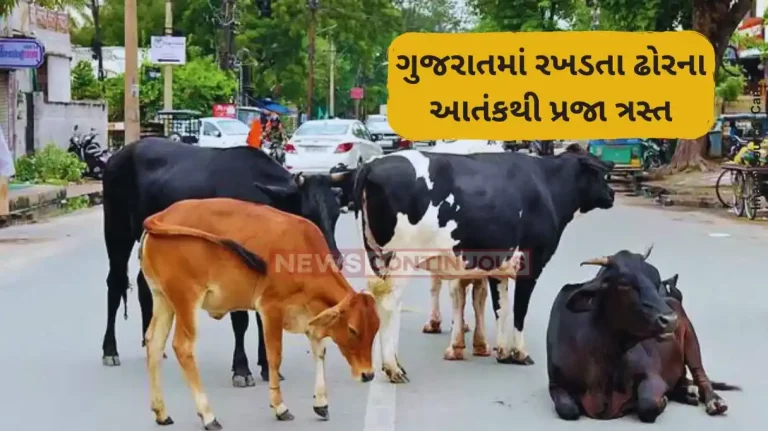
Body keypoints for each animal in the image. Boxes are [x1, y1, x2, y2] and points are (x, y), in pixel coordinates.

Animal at [101, 138, 348, 386]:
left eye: (336, 213)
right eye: (307, 213)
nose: (333, 257)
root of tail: (121, 153)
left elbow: (262, 317)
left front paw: (267, 366)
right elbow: (241, 320)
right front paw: (241, 369)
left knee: (144, 285)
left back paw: (151, 344)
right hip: (117, 232)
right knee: (115, 282)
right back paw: (110, 350)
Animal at [139, 198, 378, 428]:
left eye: (375, 330)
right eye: (353, 329)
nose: (368, 374)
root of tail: (162, 215)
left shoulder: (310, 315)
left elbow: (319, 351)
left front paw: (321, 403)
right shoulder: (270, 308)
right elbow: (274, 356)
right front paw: (280, 407)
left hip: (163, 298)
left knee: (153, 342)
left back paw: (161, 412)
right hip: (186, 299)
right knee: (183, 346)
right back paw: (208, 416)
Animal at [342, 145, 614, 383]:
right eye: (601, 174)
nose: (612, 194)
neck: (547, 184)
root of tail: (372, 164)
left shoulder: (498, 266)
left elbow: (501, 308)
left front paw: (503, 352)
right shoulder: (531, 264)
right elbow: (519, 311)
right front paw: (520, 353)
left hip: (375, 258)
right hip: (401, 259)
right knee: (389, 304)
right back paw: (393, 368)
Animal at [546, 247, 739, 422]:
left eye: (656, 282)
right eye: (623, 283)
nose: (670, 319)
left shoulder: (652, 376)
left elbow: (647, 404)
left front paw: (662, 401)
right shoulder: (555, 384)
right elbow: (568, 409)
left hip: (691, 339)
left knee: (700, 374)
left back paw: (714, 401)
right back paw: (688, 392)